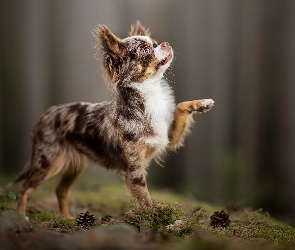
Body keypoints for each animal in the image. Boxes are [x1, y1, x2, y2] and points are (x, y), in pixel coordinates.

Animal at [12, 22, 215, 219]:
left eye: (155, 43)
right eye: (146, 50)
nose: (165, 44)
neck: (149, 95)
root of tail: (43, 116)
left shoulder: (169, 137)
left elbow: (180, 107)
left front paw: (202, 103)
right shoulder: (134, 170)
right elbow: (145, 197)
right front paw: (155, 215)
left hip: (75, 166)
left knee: (60, 190)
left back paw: (67, 218)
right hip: (48, 163)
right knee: (24, 188)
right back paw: (21, 217)